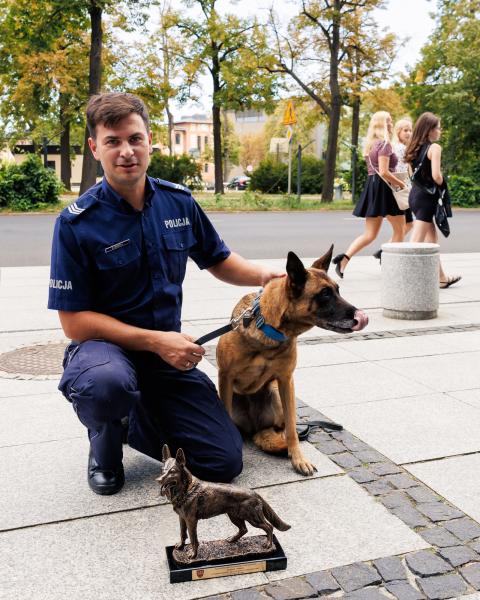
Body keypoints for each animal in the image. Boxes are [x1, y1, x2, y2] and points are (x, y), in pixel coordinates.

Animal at [216, 246, 370, 476]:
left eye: (338, 290)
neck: (269, 330)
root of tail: (255, 427)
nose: (361, 317)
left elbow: (291, 429)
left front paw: (298, 458)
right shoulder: (225, 377)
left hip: (275, 393)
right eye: (325, 294)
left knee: (282, 428)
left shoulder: (285, 381)